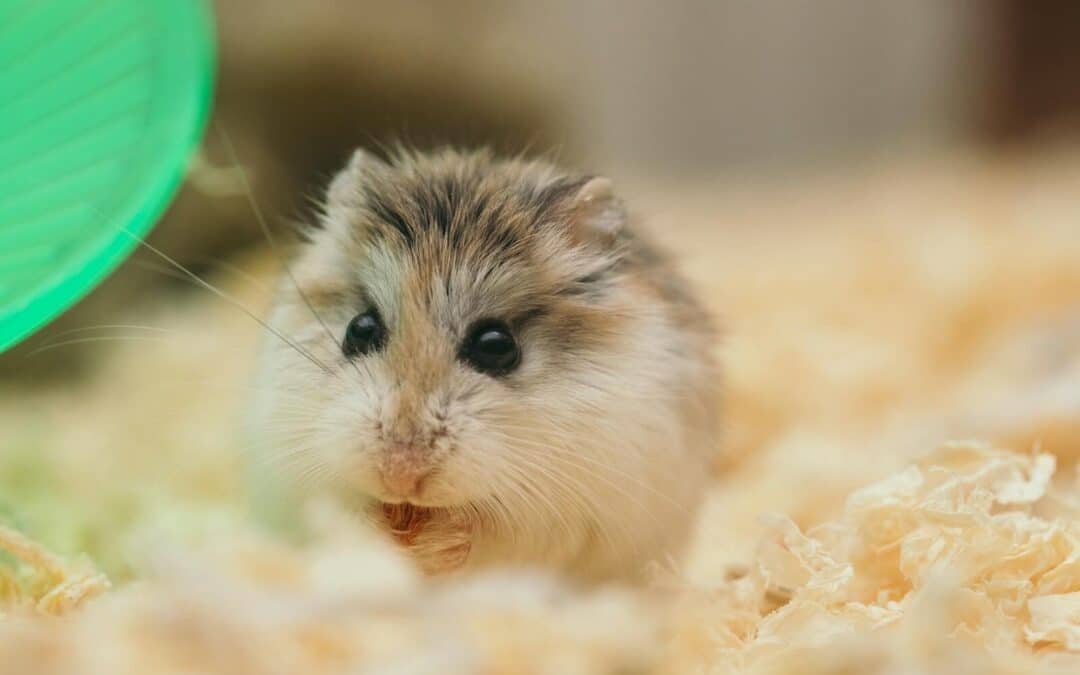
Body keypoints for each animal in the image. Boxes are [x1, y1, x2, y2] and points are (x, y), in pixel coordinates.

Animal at [250, 148, 720, 582]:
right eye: (359, 329)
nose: (400, 477)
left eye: (496, 346)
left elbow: (488, 535)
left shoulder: (565, 513)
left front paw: (432, 546)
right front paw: (384, 536)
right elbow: (337, 513)